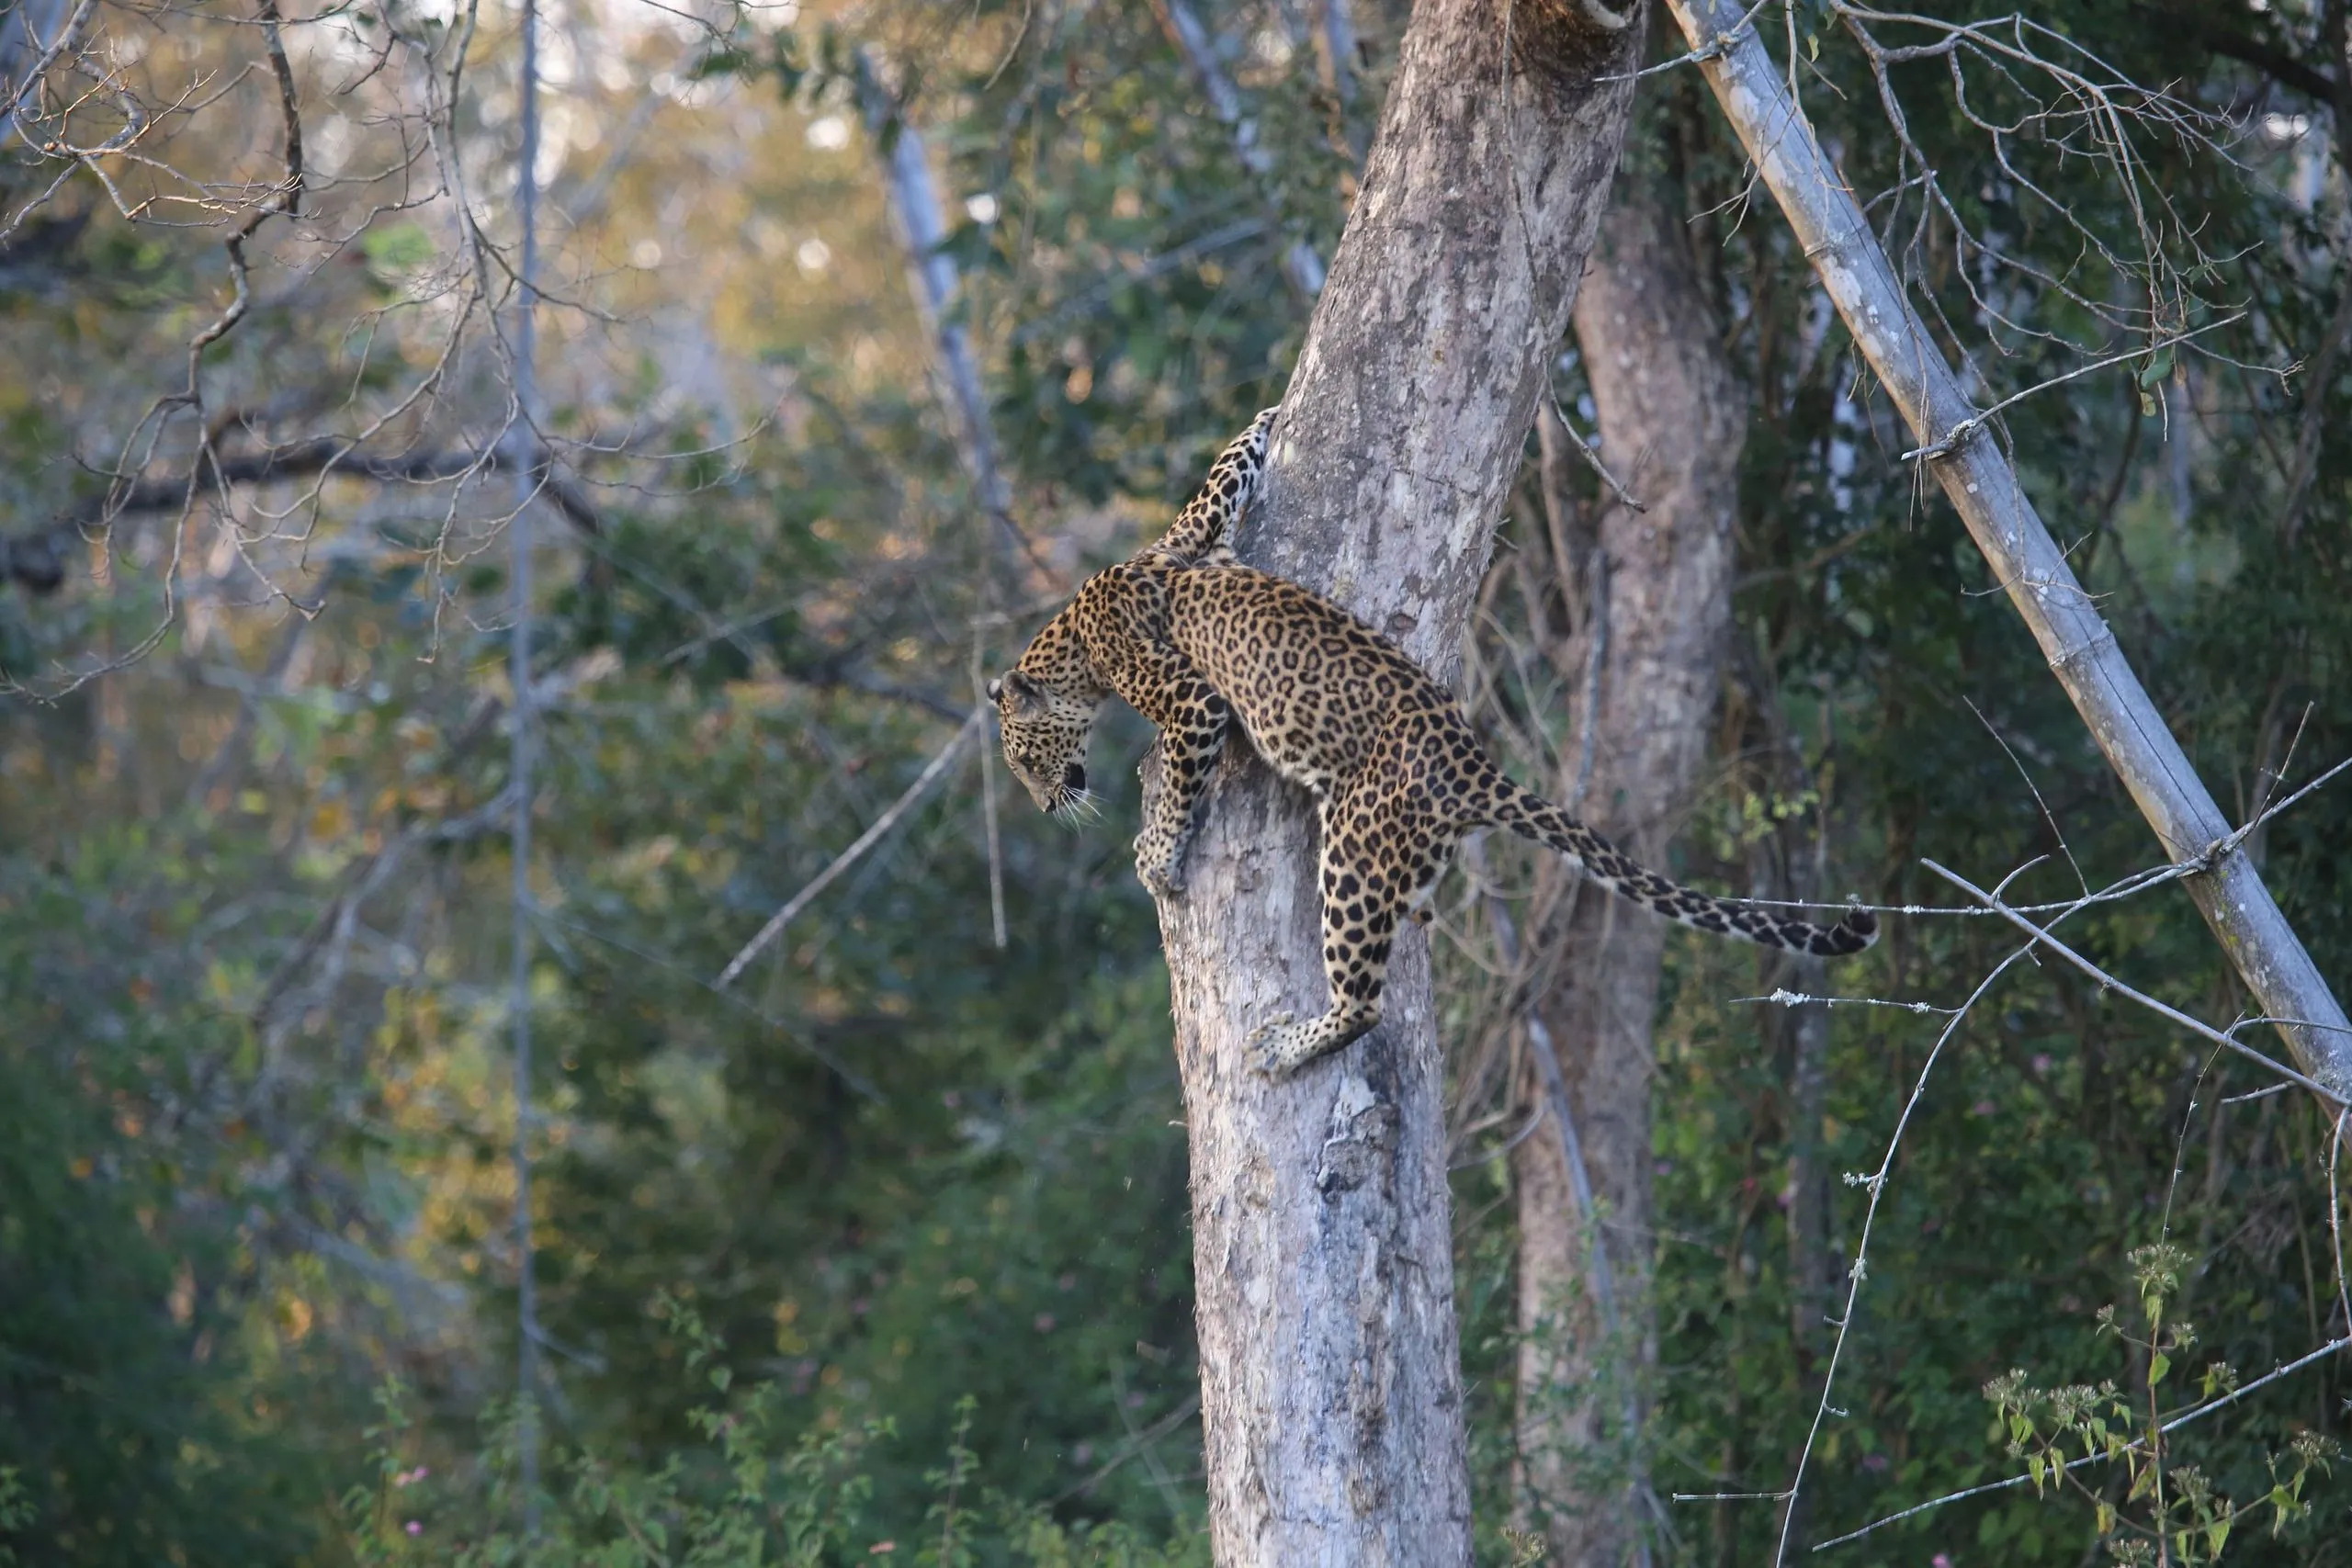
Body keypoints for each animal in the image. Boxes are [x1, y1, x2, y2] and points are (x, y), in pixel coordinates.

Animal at [988, 404, 1871, 1081]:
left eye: (1025, 763)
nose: (1047, 803)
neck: (1074, 635)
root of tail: (1476, 766)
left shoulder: (1193, 700)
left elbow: (1175, 779)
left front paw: (1157, 857)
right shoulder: (1190, 538)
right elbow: (1220, 480)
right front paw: (1261, 421)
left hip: (1352, 845)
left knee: (1363, 1003)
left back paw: (1286, 1046)